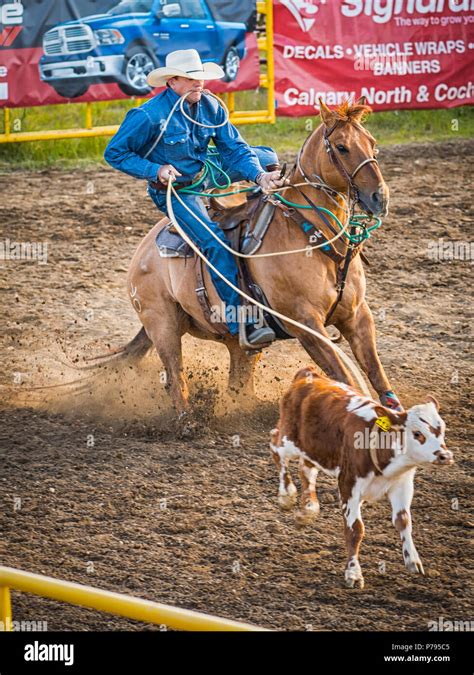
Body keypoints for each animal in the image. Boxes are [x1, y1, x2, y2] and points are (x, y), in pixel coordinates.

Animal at [120, 99, 398, 418]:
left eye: (372, 143)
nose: (380, 197)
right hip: (162, 324)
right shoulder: (306, 324)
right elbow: (345, 379)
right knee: (176, 379)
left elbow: (377, 374)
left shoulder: (357, 316)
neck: (311, 234)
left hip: (237, 343)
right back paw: (188, 421)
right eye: (341, 147)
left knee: (237, 383)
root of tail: (142, 253)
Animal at [268, 368, 454, 588]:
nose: (445, 456)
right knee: (275, 443)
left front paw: (413, 560)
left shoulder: (403, 485)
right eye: (417, 433)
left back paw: (309, 508)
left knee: (306, 470)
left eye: (442, 429)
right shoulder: (349, 485)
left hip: (312, 447)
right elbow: (355, 529)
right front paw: (353, 573)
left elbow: (404, 521)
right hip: (289, 438)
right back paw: (286, 495)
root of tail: (309, 374)